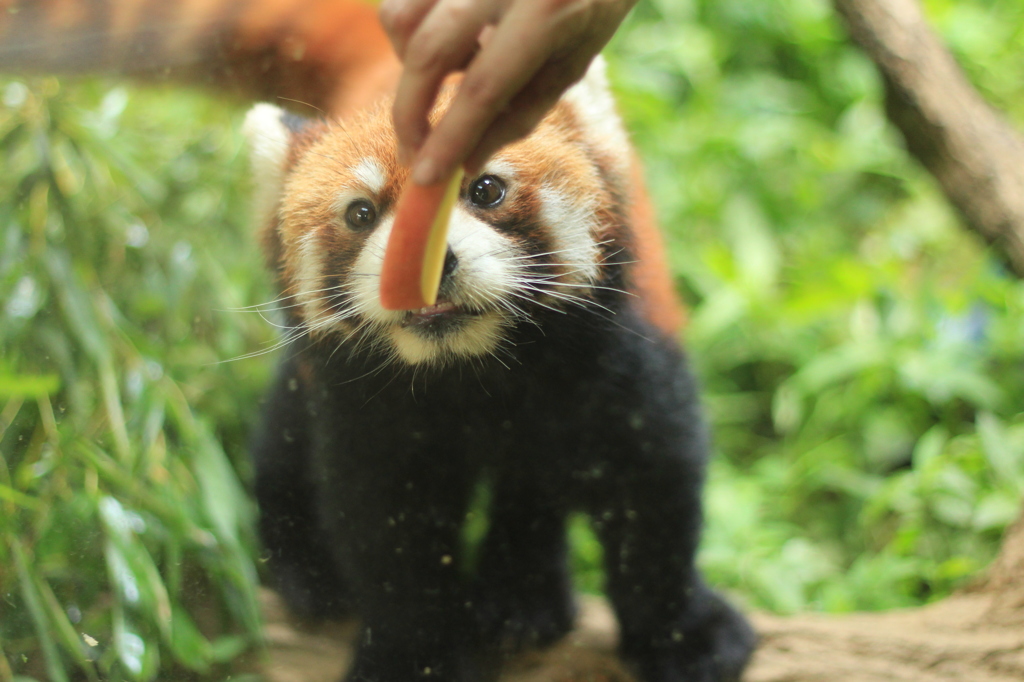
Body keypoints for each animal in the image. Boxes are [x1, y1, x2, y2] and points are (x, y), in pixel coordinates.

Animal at [0, 1, 753, 679]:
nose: (426, 264)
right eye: (361, 214)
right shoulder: (367, 410)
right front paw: (414, 653)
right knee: (285, 435)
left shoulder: (617, 361)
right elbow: (388, 531)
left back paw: (521, 597)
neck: (473, 372)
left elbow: (651, 494)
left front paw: (684, 634)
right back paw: (308, 570)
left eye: (485, 189)